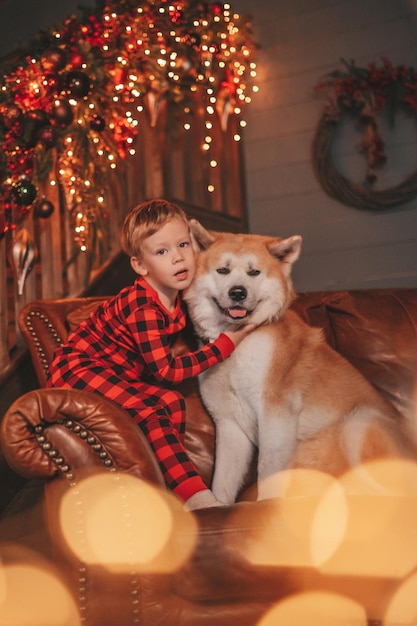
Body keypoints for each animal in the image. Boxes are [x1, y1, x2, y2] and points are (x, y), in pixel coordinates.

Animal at [184, 219, 416, 502]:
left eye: (254, 272)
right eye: (223, 270)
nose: (237, 292)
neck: (239, 343)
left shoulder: (276, 415)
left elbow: (267, 472)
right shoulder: (229, 425)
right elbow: (222, 483)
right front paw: (219, 505)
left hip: (358, 423)